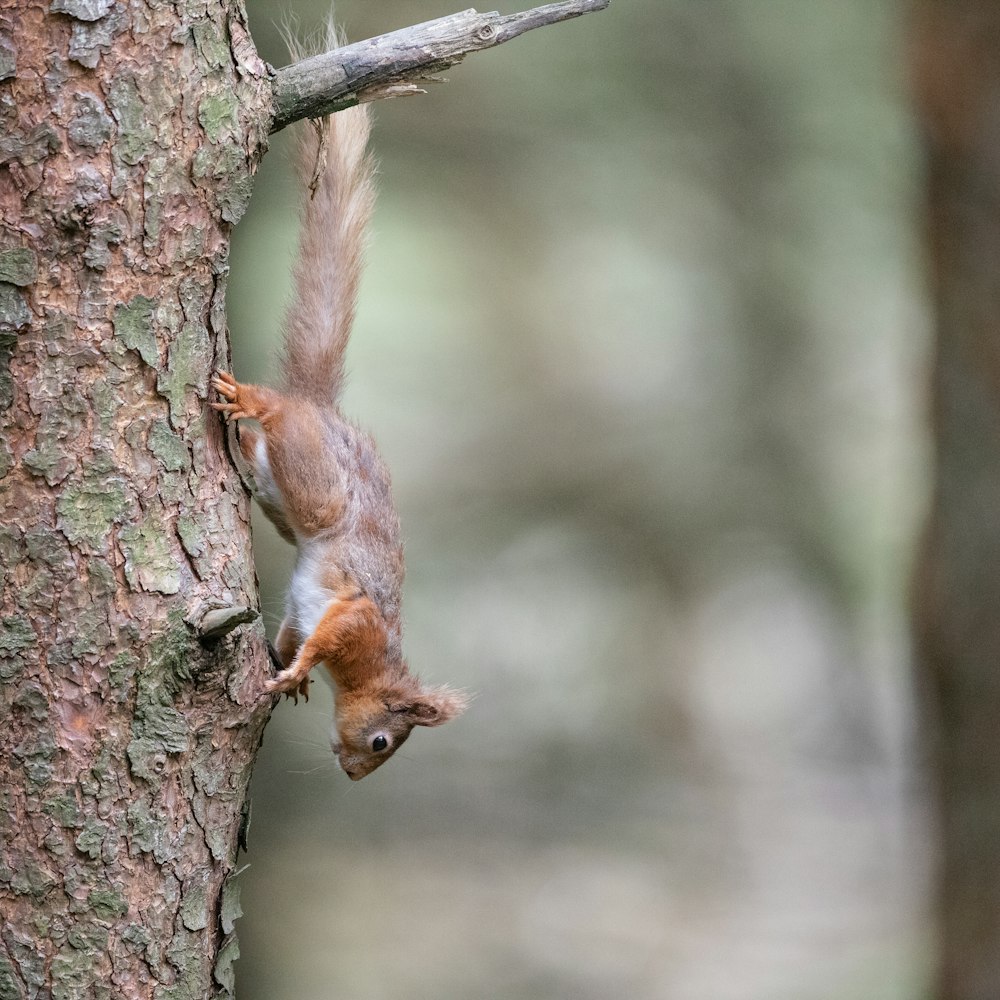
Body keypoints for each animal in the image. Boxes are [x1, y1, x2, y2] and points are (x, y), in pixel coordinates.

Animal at [212, 41, 468, 780]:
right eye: (382, 743)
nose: (353, 775)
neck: (376, 669)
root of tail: (322, 410)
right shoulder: (357, 622)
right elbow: (324, 636)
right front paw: (300, 672)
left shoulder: (314, 606)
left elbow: (294, 625)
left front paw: (286, 665)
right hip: (316, 479)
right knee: (281, 414)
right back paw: (253, 399)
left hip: (281, 494)